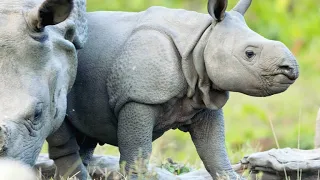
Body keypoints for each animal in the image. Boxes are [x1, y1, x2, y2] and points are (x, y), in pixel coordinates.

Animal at [47, 0, 298, 179]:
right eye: (249, 54)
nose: (292, 69)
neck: (202, 40)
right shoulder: (137, 99)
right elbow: (136, 156)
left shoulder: (204, 96)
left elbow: (215, 154)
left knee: (87, 133)